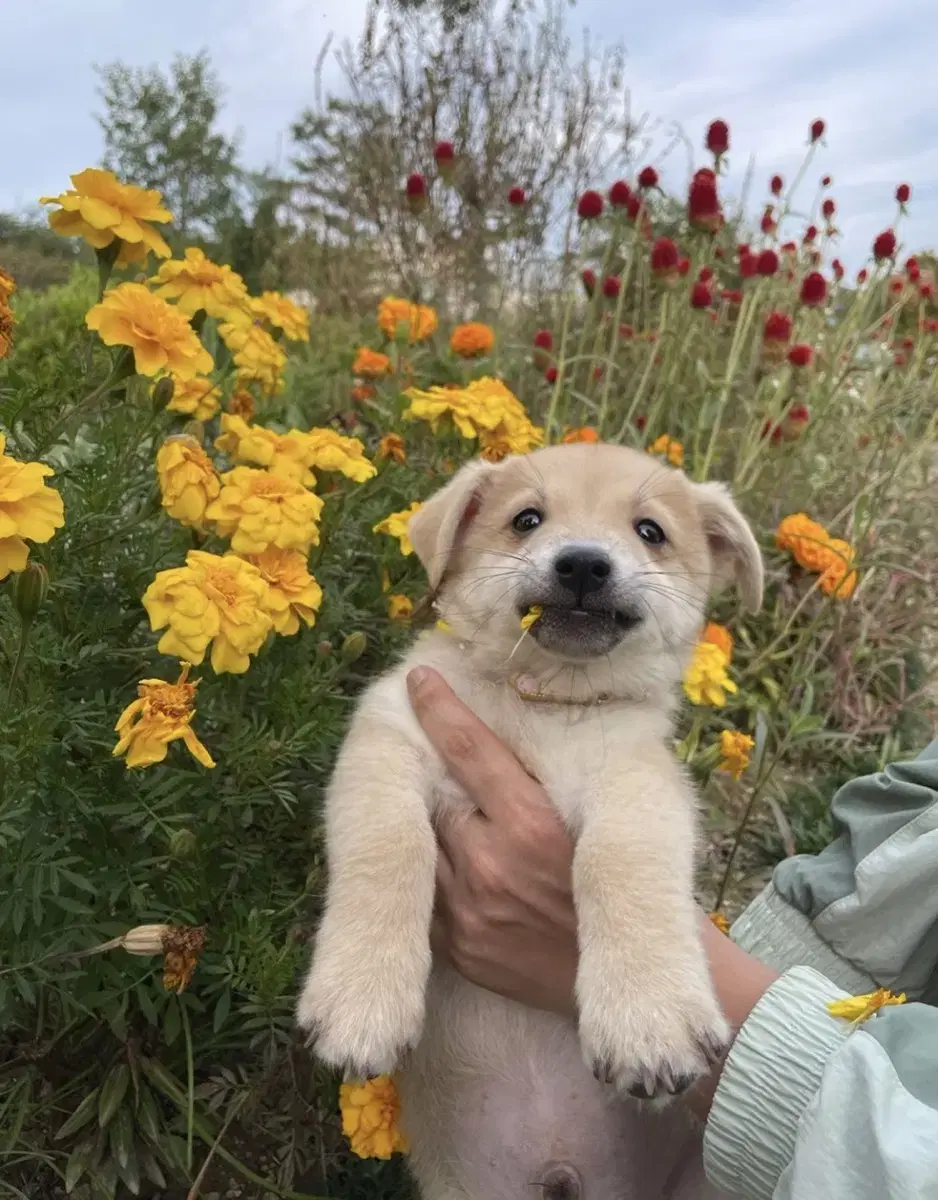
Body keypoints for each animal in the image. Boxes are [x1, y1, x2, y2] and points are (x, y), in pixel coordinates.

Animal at [299, 444, 762, 1200]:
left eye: (650, 531)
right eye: (527, 519)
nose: (583, 564)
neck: (543, 702)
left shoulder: (638, 780)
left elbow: (619, 861)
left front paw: (647, 1018)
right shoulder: (388, 740)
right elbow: (389, 850)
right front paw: (363, 999)